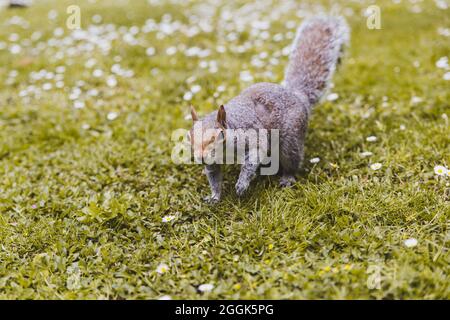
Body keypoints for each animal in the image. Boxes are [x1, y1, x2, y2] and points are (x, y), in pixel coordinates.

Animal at [188, 15, 350, 202]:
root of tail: (298, 97)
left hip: (290, 140)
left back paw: (287, 178)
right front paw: (214, 196)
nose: (200, 157)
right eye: (189, 137)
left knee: (292, 160)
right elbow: (214, 176)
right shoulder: (213, 162)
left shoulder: (252, 136)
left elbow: (254, 156)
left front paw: (242, 184)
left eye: (217, 136)